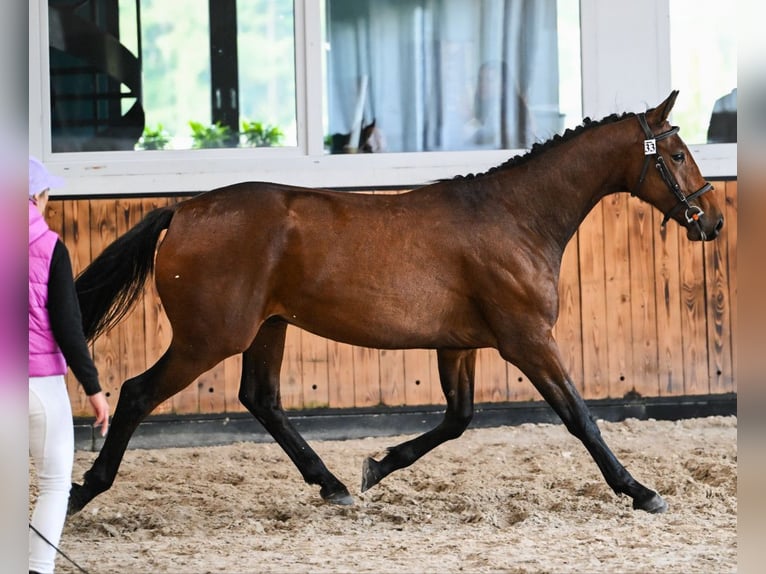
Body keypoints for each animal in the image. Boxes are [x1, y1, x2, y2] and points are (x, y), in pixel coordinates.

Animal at [69, 91, 723, 516]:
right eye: (678, 153)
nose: (712, 221)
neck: (515, 217)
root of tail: (183, 209)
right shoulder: (528, 340)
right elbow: (580, 416)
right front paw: (640, 491)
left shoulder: (461, 345)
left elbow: (458, 419)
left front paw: (377, 466)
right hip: (210, 337)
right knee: (137, 394)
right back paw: (83, 491)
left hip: (267, 328)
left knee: (262, 399)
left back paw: (331, 484)